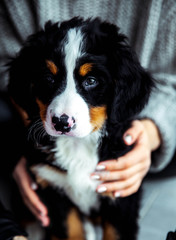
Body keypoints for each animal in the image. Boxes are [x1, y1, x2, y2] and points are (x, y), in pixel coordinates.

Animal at [8, 17, 154, 240]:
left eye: (91, 81)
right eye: (48, 79)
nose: (61, 122)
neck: (78, 146)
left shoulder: (119, 194)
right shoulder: (52, 188)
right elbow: (72, 232)